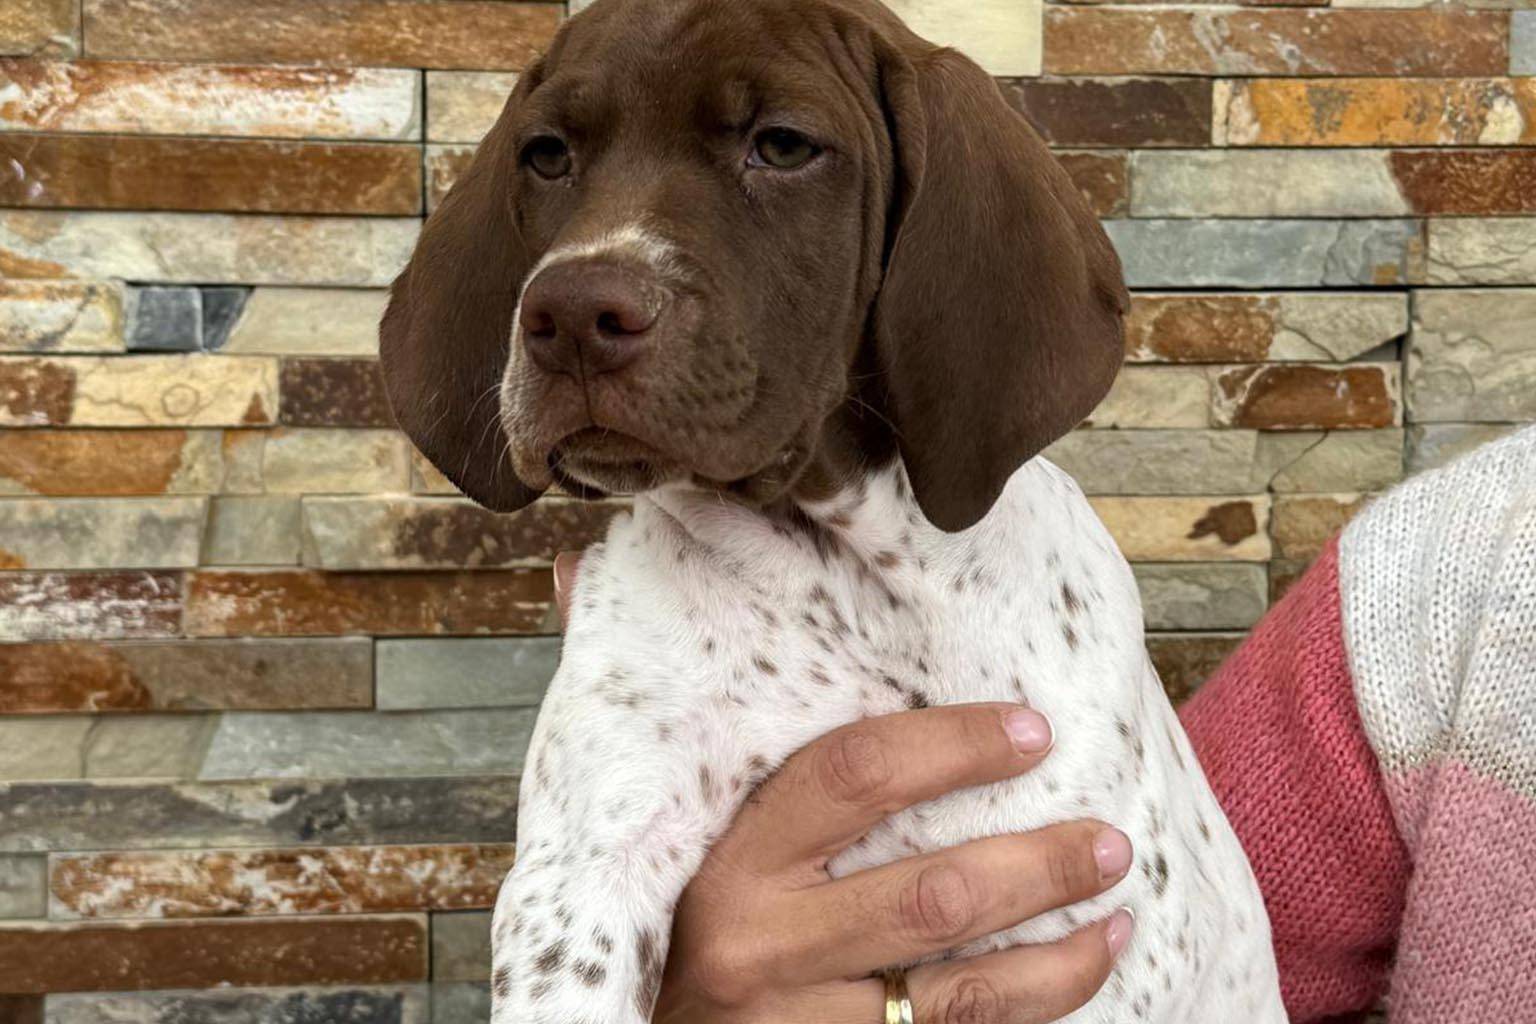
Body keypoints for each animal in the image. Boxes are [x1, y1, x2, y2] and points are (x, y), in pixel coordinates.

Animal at [379, 0, 1286, 1019]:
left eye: (782, 146)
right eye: (546, 155)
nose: (568, 315)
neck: (845, 575)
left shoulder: (1085, 922)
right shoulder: (581, 883)